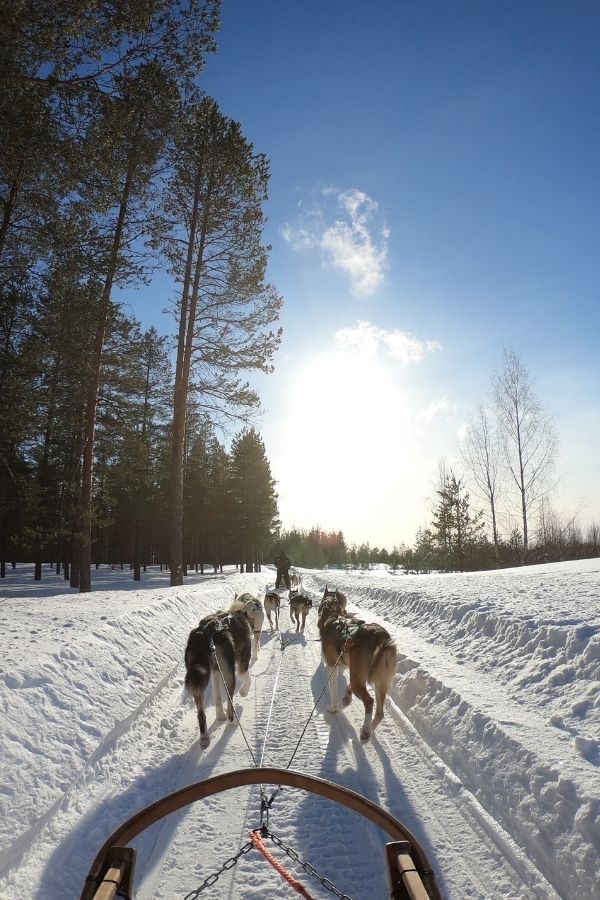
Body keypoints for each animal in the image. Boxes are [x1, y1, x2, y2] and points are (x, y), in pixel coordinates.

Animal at [184, 608, 252, 748]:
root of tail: (204, 634)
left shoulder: (215, 671)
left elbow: (217, 696)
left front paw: (220, 714)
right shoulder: (243, 663)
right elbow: (246, 678)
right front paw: (243, 692)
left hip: (199, 680)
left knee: (201, 714)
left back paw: (205, 736)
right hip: (228, 673)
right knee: (230, 704)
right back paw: (232, 721)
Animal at [316, 596, 396, 740]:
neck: (333, 615)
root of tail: (379, 636)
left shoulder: (332, 667)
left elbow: (333, 691)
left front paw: (333, 708)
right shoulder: (349, 668)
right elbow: (348, 686)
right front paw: (347, 696)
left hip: (362, 681)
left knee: (369, 701)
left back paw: (366, 730)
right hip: (380, 682)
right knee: (380, 713)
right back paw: (369, 730)